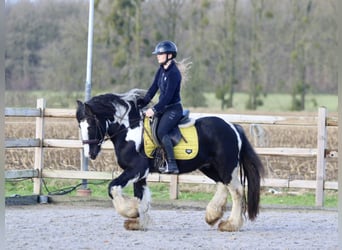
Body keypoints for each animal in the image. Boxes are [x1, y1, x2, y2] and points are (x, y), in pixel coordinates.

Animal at [76, 89, 266, 231]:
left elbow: (113, 187)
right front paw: (139, 222)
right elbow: (141, 196)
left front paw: (131, 212)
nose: (89, 154)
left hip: (226, 166)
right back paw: (213, 216)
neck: (130, 131)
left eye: (91, 125)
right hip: (209, 167)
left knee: (237, 191)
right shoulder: (141, 174)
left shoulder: (136, 169)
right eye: (80, 125)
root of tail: (233, 127)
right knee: (223, 185)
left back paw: (230, 224)